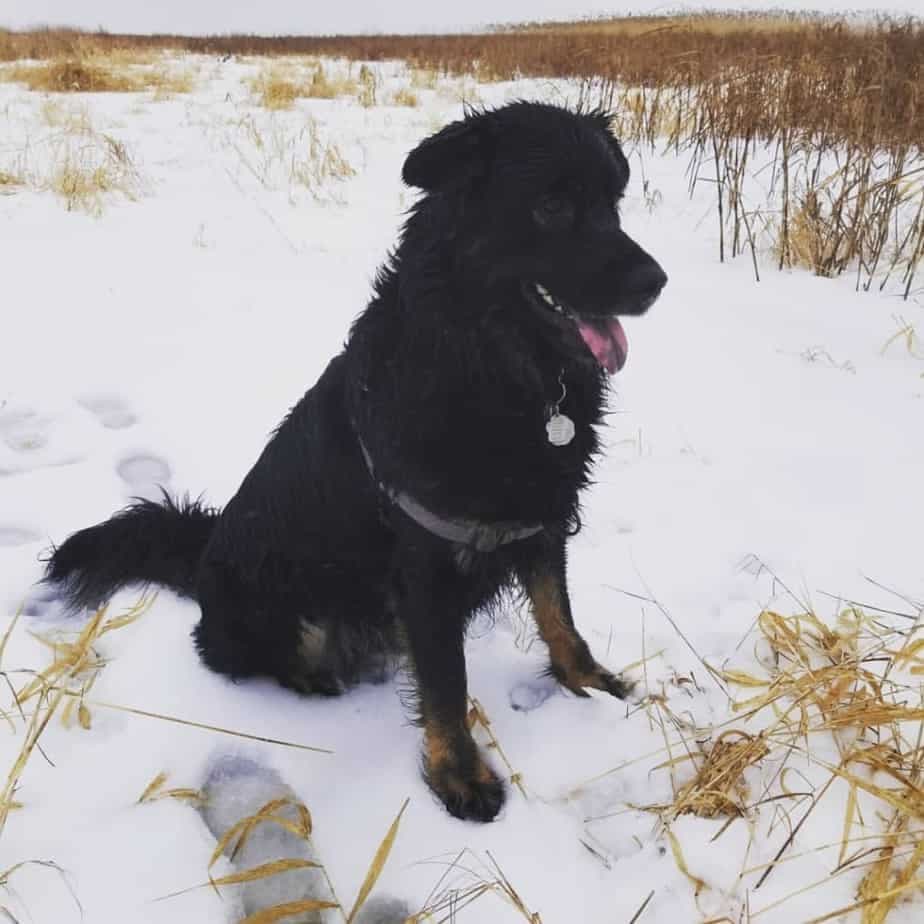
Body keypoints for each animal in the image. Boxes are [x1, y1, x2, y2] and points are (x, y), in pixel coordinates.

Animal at [43, 103, 664, 824]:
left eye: (614, 204)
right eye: (552, 206)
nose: (656, 283)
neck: (487, 366)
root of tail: (202, 559)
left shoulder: (542, 520)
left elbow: (558, 616)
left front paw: (588, 682)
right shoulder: (425, 559)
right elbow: (446, 683)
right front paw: (459, 776)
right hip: (286, 609)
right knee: (236, 655)